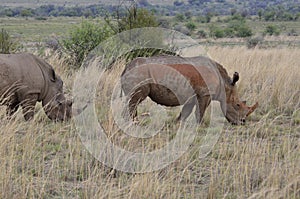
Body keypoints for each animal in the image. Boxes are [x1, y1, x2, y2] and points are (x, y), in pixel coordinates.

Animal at [119, 54, 258, 125]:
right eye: (237, 105)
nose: (242, 122)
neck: (225, 85)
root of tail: (126, 68)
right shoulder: (204, 94)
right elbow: (200, 111)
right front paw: (199, 126)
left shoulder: (193, 95)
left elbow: (186, 111)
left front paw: (177, 123)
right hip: (139, 73)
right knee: (135, 100)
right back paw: (134, 124)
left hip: (137, 72)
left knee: (132, 101)